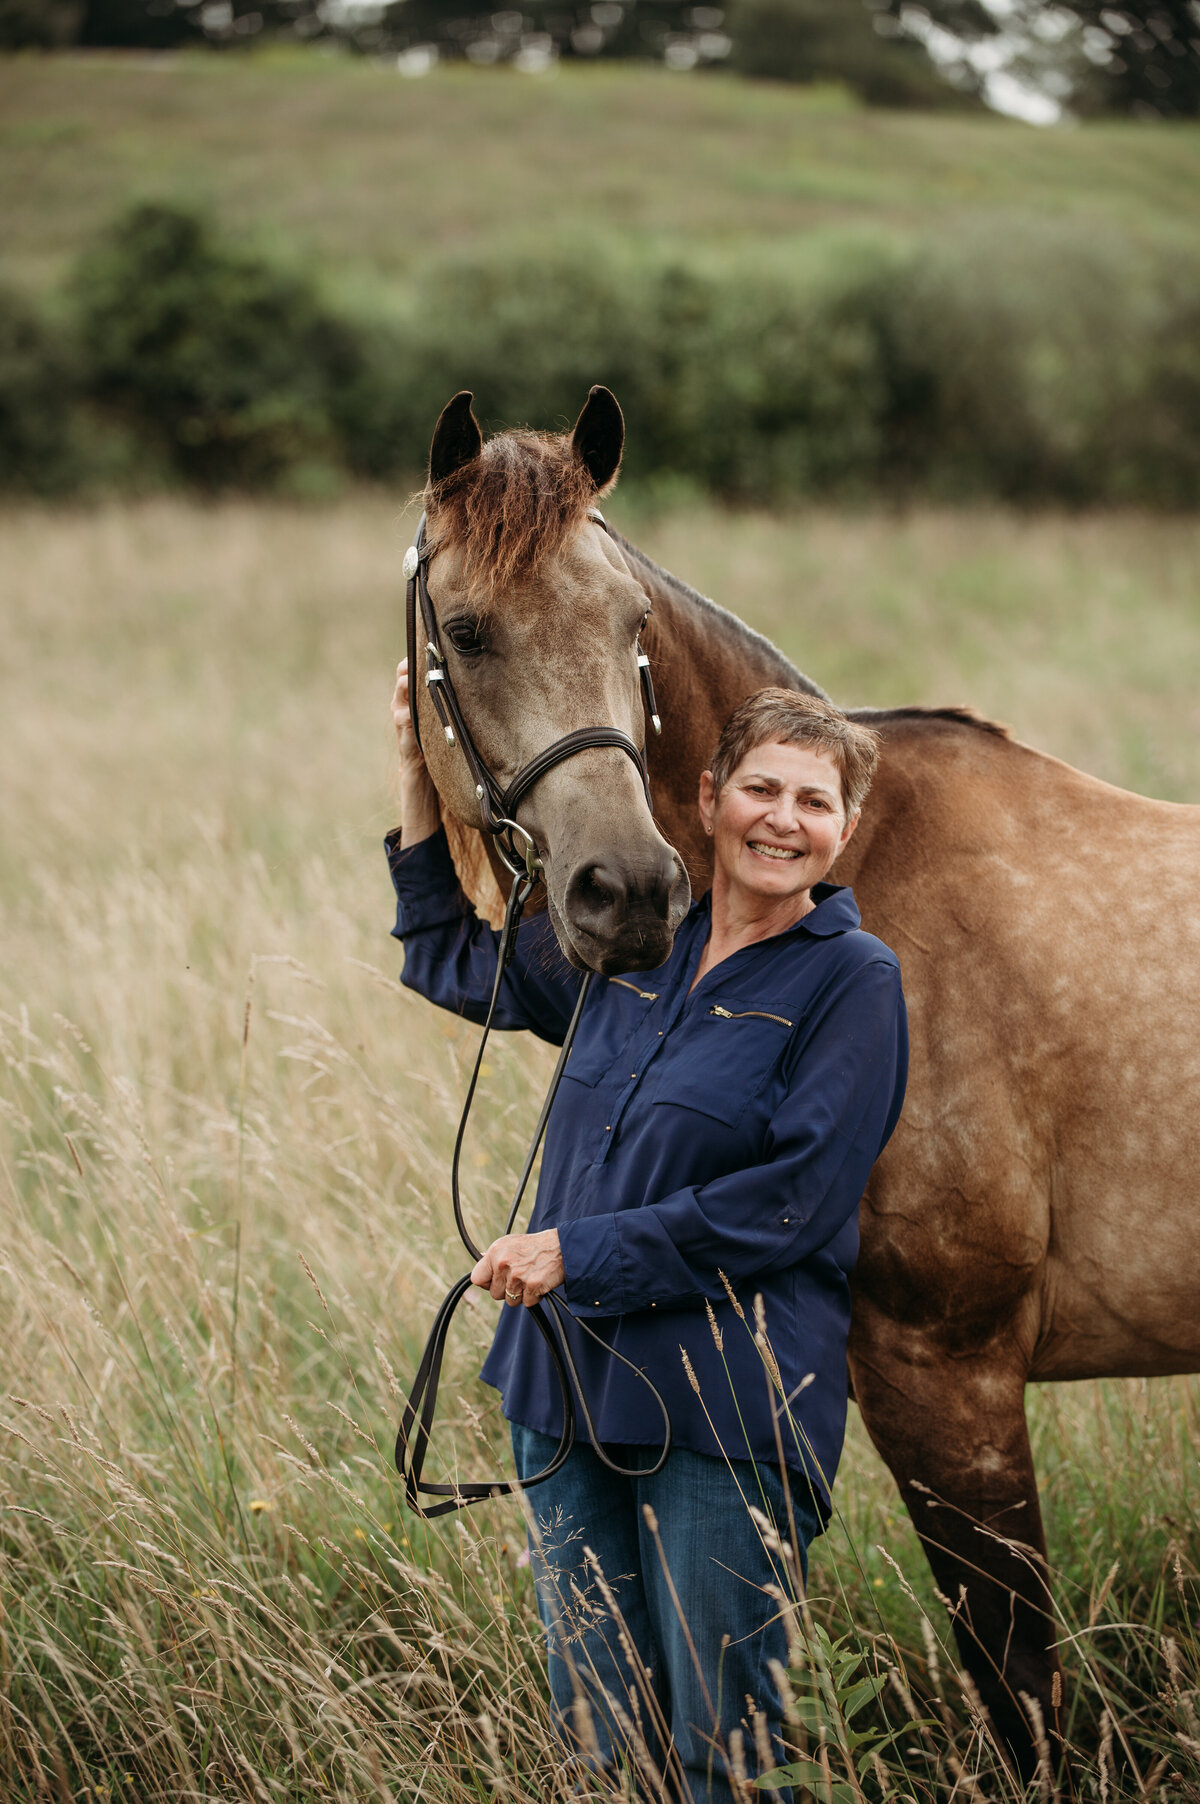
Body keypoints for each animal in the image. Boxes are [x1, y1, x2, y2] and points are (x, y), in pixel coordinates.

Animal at [400, 384, 1198, 1775]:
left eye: (630, 622)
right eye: (466, 629)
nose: (629, 893)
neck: (860, 870)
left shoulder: (950, 1377)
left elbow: (1020, 1686)